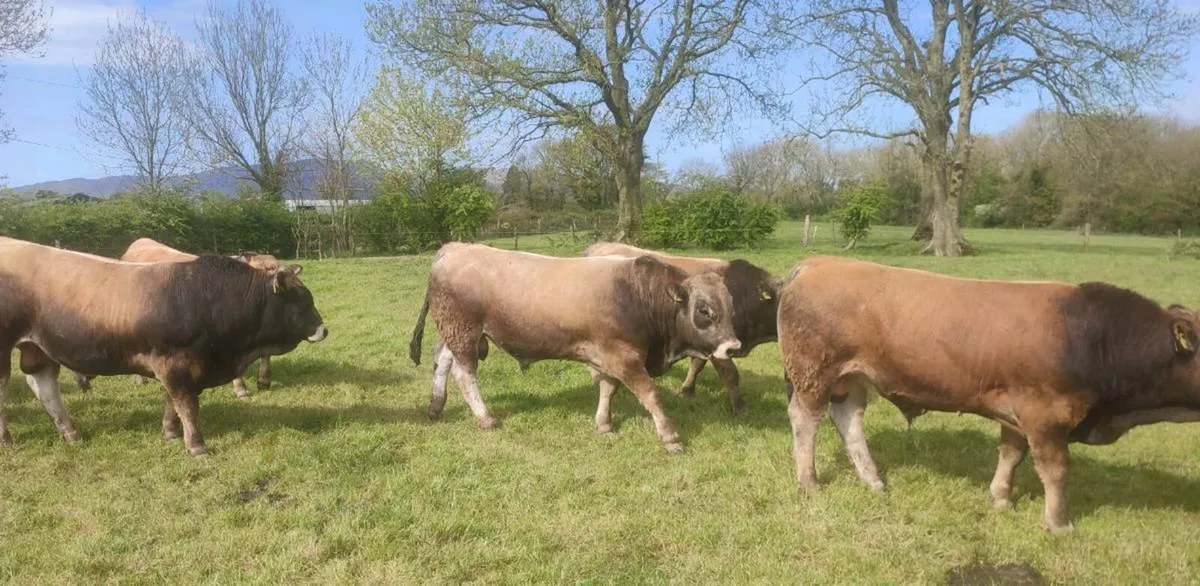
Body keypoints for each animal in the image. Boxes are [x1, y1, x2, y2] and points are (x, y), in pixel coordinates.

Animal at [409, 242, 742, 453]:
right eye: (704, 310)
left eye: (731, 308)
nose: (732, 347)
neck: (636, 295)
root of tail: (455, 247)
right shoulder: (626, 357)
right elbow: (651, 395)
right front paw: (670, 436)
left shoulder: (608, 355)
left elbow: (608, 389)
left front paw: (604, 423)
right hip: (464, 331)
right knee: (465, 375)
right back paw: (485, 417)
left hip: (454, 331)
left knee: (441, 360)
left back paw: (436, 405)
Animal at [777, 255, 1200, 533]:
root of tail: (817, 263)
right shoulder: (1045, 415)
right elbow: (1056, 470)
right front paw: (1059, 523)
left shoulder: (1017, 411)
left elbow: (1011, 455)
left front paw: (1001, 498)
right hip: (814, 373)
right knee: (805, 420)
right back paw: (809, 481)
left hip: (850, 380)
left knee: (849, 420)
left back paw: (873, 481)